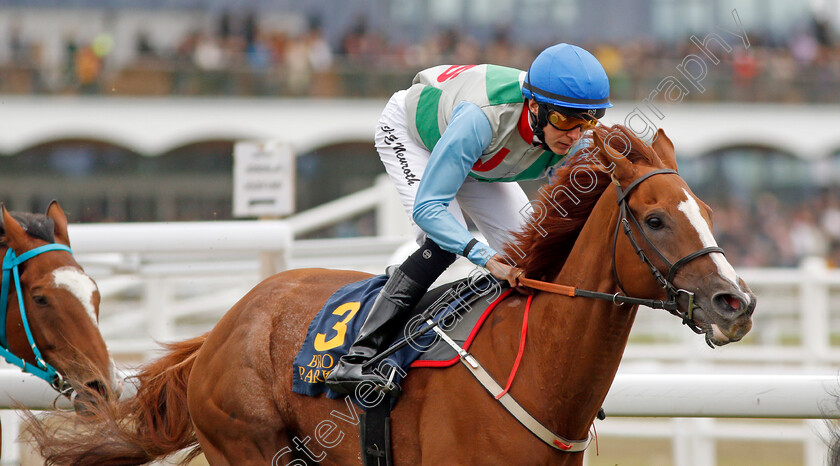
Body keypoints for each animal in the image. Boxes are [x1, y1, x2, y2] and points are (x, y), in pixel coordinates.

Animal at [31, 125, 756, 464]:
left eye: (708, 210)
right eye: (656, 219)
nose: (737, 304)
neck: (535, 371)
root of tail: (226, 324)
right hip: (248, 444)